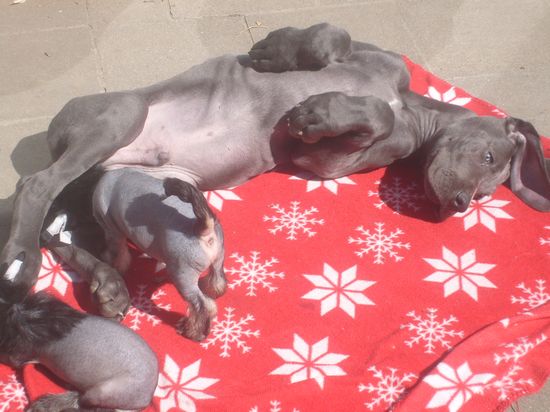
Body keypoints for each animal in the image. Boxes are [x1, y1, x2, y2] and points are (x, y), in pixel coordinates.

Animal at [2, 22, 549, 316]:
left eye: (485, 196)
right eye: (488, 159)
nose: (459, 206)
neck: (412, 104)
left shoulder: (327, 161)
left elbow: (376, 116)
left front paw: (322, 110)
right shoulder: (376, 57)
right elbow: (333, 37)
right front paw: (281, 52)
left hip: (116, 189)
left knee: (68, 229)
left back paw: (102, 282)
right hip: (123, 115)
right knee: (36, 185)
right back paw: (24, 260)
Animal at [92, 168, 226, 340]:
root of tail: (202, 229)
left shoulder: (113, 233)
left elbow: (118, 255)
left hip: (183, 278)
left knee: (203, 306)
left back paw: (192, 331)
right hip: (217, 260)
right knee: (218, 281)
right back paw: (210, 290)